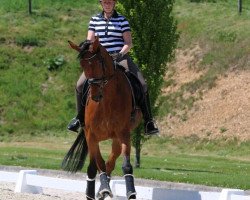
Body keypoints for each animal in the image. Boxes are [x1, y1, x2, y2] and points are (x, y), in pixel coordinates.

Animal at [61, 36, 142, 199]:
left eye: (99, 62)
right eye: (82, 64)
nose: (95, 95)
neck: (106, 100)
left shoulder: (123, 133)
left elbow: (126, 165)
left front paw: (130, 192)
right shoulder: (91, 135)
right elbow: (99, 164)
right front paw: (104, 188)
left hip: (116, 137)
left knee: (110, 162)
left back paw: (101, 191)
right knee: (94, 167)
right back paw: (95, 192)